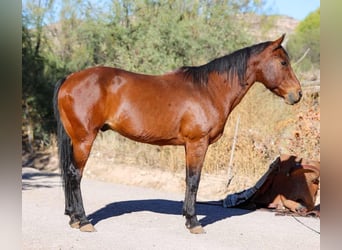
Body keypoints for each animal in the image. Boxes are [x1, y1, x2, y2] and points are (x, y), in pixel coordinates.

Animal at [53, 34, 302, 233]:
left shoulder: (189, 146)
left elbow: (188, 179)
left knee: (69, 173)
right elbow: (193, 180)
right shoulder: (197, 143)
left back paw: (74, 218)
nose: (297, 94)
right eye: (283, 62)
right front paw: (193, 222)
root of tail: (70, 78)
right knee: (75, 174)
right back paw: (83, 221)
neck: (209, 90)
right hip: (84, 139)